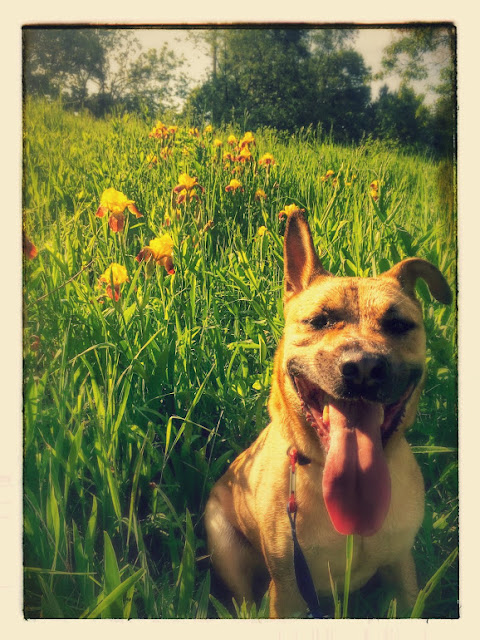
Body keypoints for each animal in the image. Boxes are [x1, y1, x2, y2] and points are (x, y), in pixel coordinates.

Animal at [205, 210, 452, 618]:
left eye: (398, 325)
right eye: (318, 321)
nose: (364, 367)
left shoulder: (401, 569)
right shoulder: (288, 590)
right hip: (223, 540)